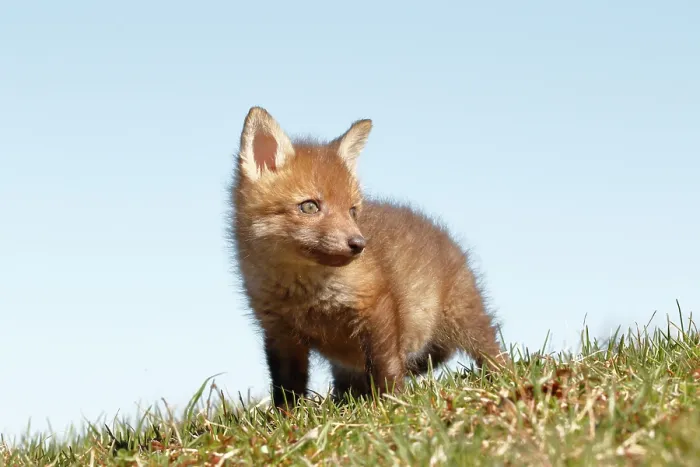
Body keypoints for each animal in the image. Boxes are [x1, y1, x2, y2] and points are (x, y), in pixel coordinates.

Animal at [229, 106, 509, 408]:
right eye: (309, 206)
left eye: (352, 211)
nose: (358, 244)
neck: (307, 293)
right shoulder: (279, 332)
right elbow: (286, 387)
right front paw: (287, 417)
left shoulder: (375, 304)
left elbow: (386, 365)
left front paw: (393, 402)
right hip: (346, 367)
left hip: (464, 318)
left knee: (491, 348)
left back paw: (502, 376)